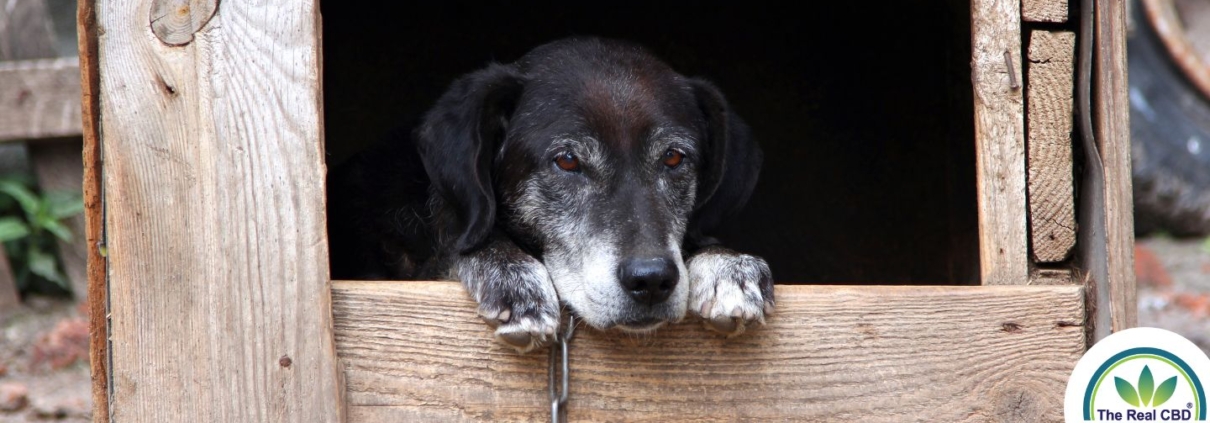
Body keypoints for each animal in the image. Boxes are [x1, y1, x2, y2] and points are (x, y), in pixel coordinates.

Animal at [326, 37, 769, 352]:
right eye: (568, 161)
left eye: (674, 157)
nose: (652, 280)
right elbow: (458, 240)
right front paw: (514, 277)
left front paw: (726, 263)